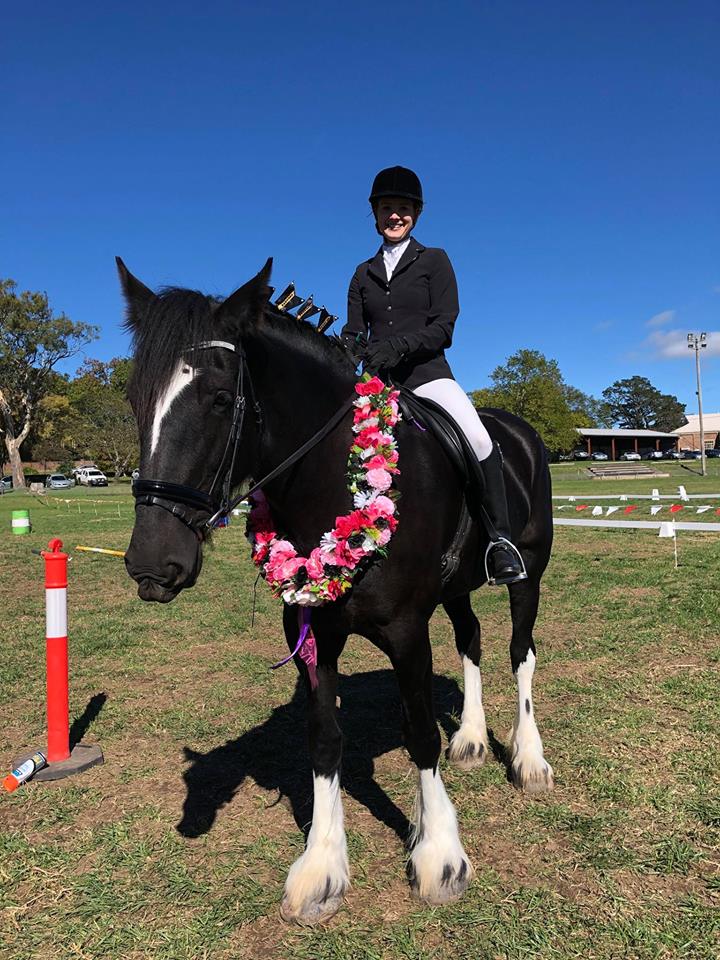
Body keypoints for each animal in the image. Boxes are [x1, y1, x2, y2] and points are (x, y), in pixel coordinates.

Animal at [119, 257, 555, 925]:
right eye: (135, 400)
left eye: (220, 399)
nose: (151, 564)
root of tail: (519, 430)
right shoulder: (312, 630)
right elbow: (324, 739)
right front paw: (322, 866)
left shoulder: (406, 629)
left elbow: (419, 732)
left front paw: (439, 855)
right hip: (456, 588)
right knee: (473, 642)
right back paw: (473, 740)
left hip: (526, 570)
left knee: (519, 652)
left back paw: (528, 760)